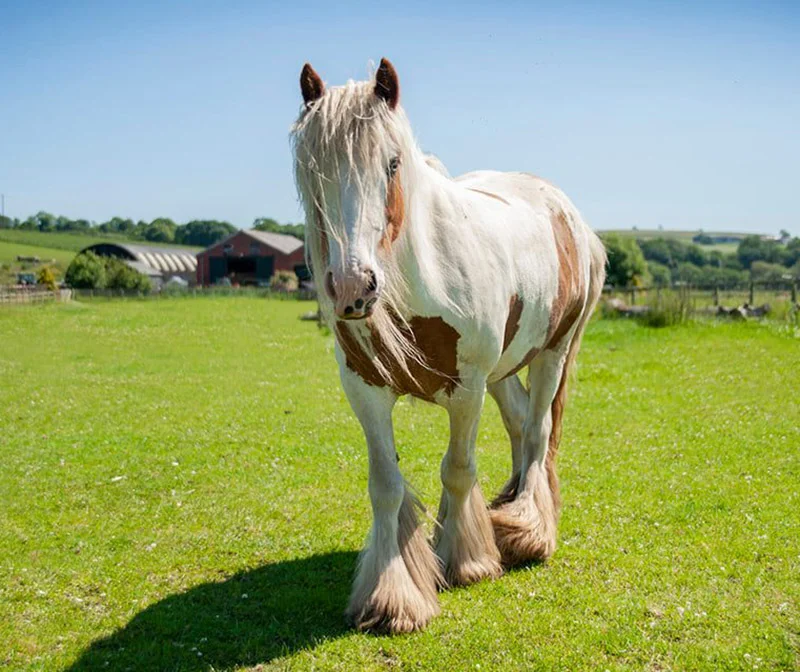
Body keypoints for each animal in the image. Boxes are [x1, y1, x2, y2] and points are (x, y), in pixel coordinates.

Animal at [290, 58, 606, 635]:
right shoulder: (364, 389)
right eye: (312, 170)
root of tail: (563, 208)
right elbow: (385, 486)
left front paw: (466, 560)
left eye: (392, 164)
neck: (421, 276)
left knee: (538, 430)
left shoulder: (467, 390)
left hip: (550, 355)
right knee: (520, 423)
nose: (352, 287)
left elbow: (457, 470)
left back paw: (526, 529)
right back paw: (508, 509)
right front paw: (393, 594)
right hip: (505, 369)